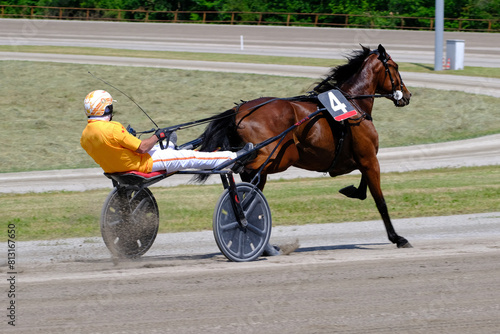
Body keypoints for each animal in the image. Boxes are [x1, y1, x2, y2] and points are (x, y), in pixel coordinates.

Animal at [197, 43, 412, 248]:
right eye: (395, 67)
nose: (407, 95)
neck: (353, 104)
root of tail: (239, 111)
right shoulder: (368, 158)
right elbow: (380, 200)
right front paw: (397, 238)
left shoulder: (363, 159)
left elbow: (363, 187)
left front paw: (352, 191)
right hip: (278, 157)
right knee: (243, 172)